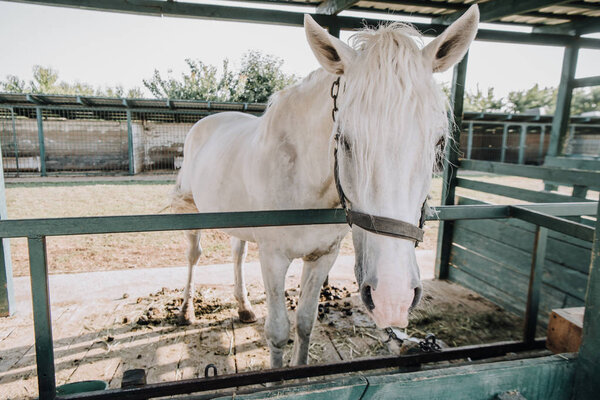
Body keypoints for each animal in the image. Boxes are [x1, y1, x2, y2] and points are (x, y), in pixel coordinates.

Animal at [171, 7, 480, 368]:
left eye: (439, 142)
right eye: (343, 139)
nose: (393, 299)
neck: (304, 183)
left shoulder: (323, 257)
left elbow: (305, 322)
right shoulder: (273, 258)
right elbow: (278, 331)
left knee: (237, 252)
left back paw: (244, 307)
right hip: (192, 212)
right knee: (193, 255)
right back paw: (186, 311)